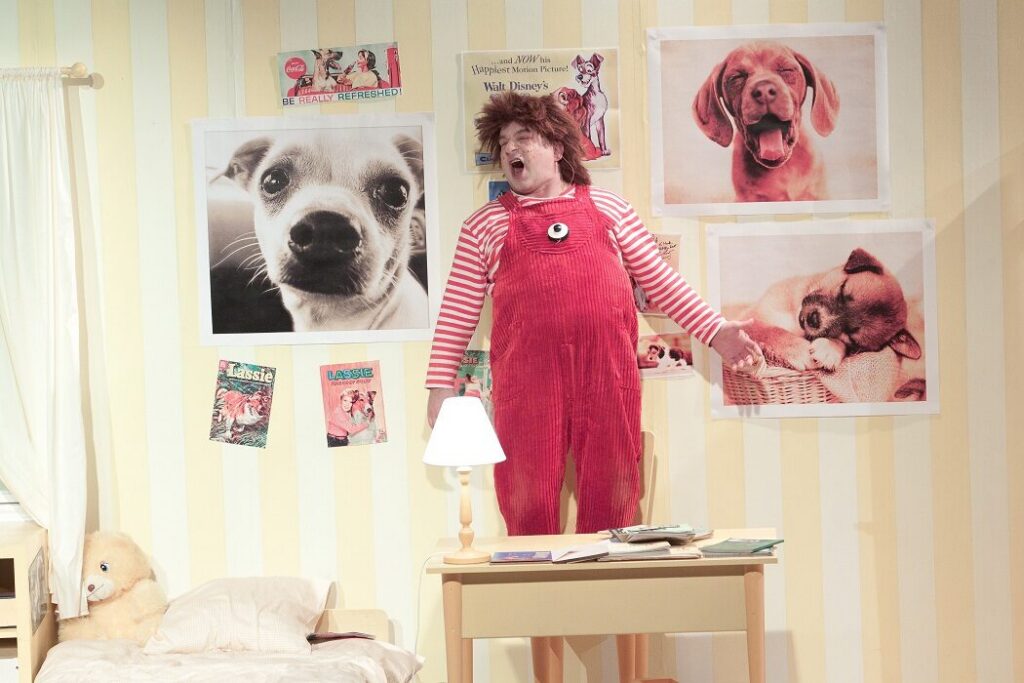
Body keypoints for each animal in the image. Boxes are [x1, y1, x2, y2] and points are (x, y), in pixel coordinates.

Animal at [739, 248, 921, 372]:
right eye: (842, 290)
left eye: (851, 336)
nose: (814, 319)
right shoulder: (748, 319)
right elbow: (771, 331)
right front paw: (800, 351)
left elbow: (842, 346)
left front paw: (830, 349)